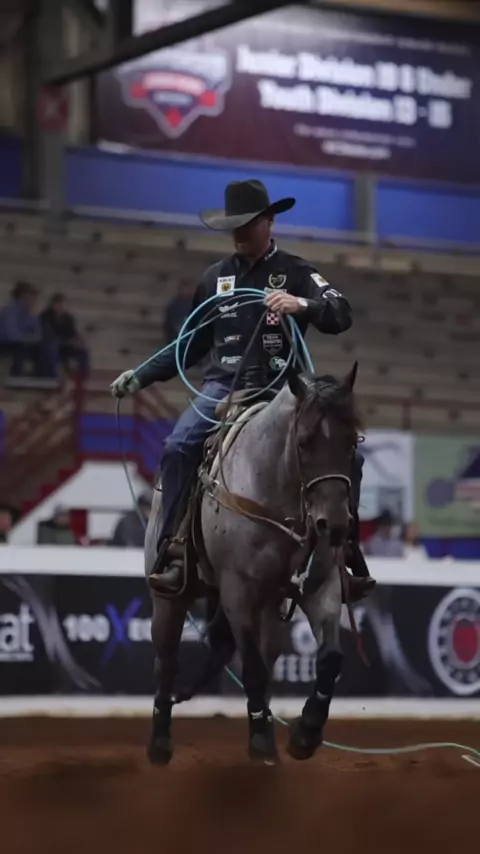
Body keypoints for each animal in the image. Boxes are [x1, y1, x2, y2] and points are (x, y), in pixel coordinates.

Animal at [144, 366, 360, 764]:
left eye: (353, 443)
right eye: (303, 442)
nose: (335, 525)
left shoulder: (321, 586)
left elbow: (330, 658)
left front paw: (306, 732)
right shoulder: (237, 593)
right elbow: (253, 669)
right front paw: (260, 739)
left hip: (270, 607)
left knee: (269, 653)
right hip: (168, 596)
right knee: (166, 661)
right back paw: (160, 741)